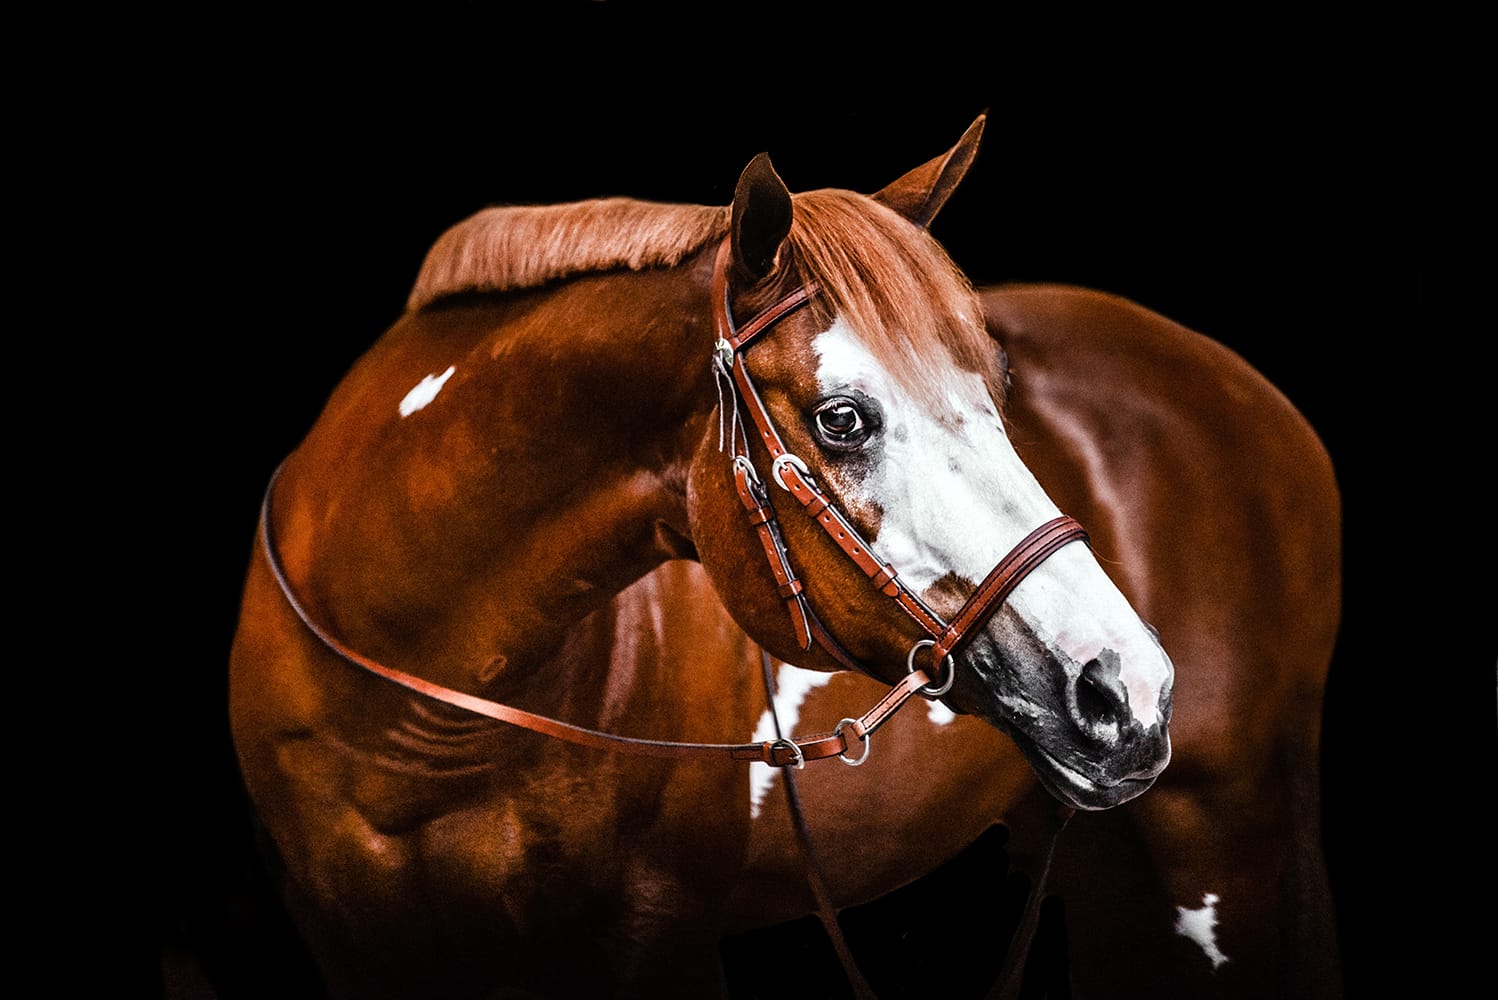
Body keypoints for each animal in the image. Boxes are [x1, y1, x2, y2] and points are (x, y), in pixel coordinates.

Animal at [228, 113, 1336, 998]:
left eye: (1000, 386)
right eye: (842, 419)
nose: (1128, 689)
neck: (416, 711)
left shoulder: (655, 940)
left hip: (1222, 839)